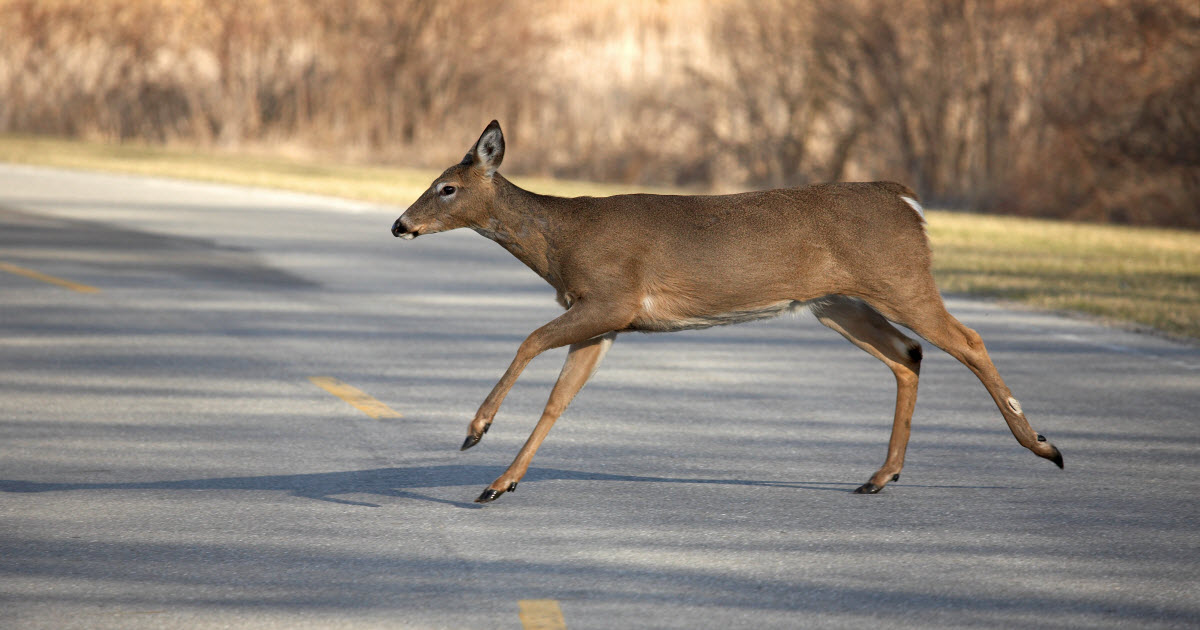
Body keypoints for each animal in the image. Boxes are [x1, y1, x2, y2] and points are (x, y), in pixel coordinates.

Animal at [391, 120, 1060, 504]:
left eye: (447, 188)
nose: (400, 224)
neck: (561, 243)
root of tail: (907, 201)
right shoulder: (606, 322)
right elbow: (561, 399)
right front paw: (499, 483)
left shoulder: (611, 297)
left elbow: (528, 340)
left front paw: (475, 432)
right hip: (835, 302)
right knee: (908, 353)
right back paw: (880, 476)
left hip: (899, 278)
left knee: (967, 339)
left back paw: (1042, 446)